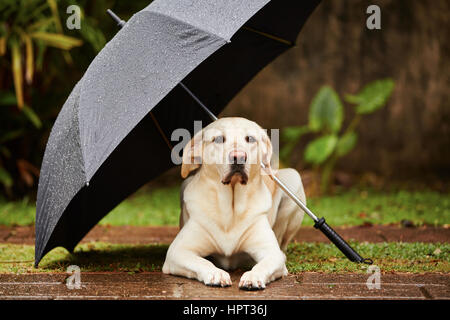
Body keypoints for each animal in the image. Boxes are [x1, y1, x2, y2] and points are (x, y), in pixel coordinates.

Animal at [162, 118, 306, 290]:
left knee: (282, 246)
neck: (231, 208)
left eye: (250, 138)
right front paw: (216, 273)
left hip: (294, 179)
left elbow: (264, 264)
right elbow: (201, 261)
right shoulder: (177, 251)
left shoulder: (271, 252)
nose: (238, 157)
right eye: (218, 139)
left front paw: (253, 276)